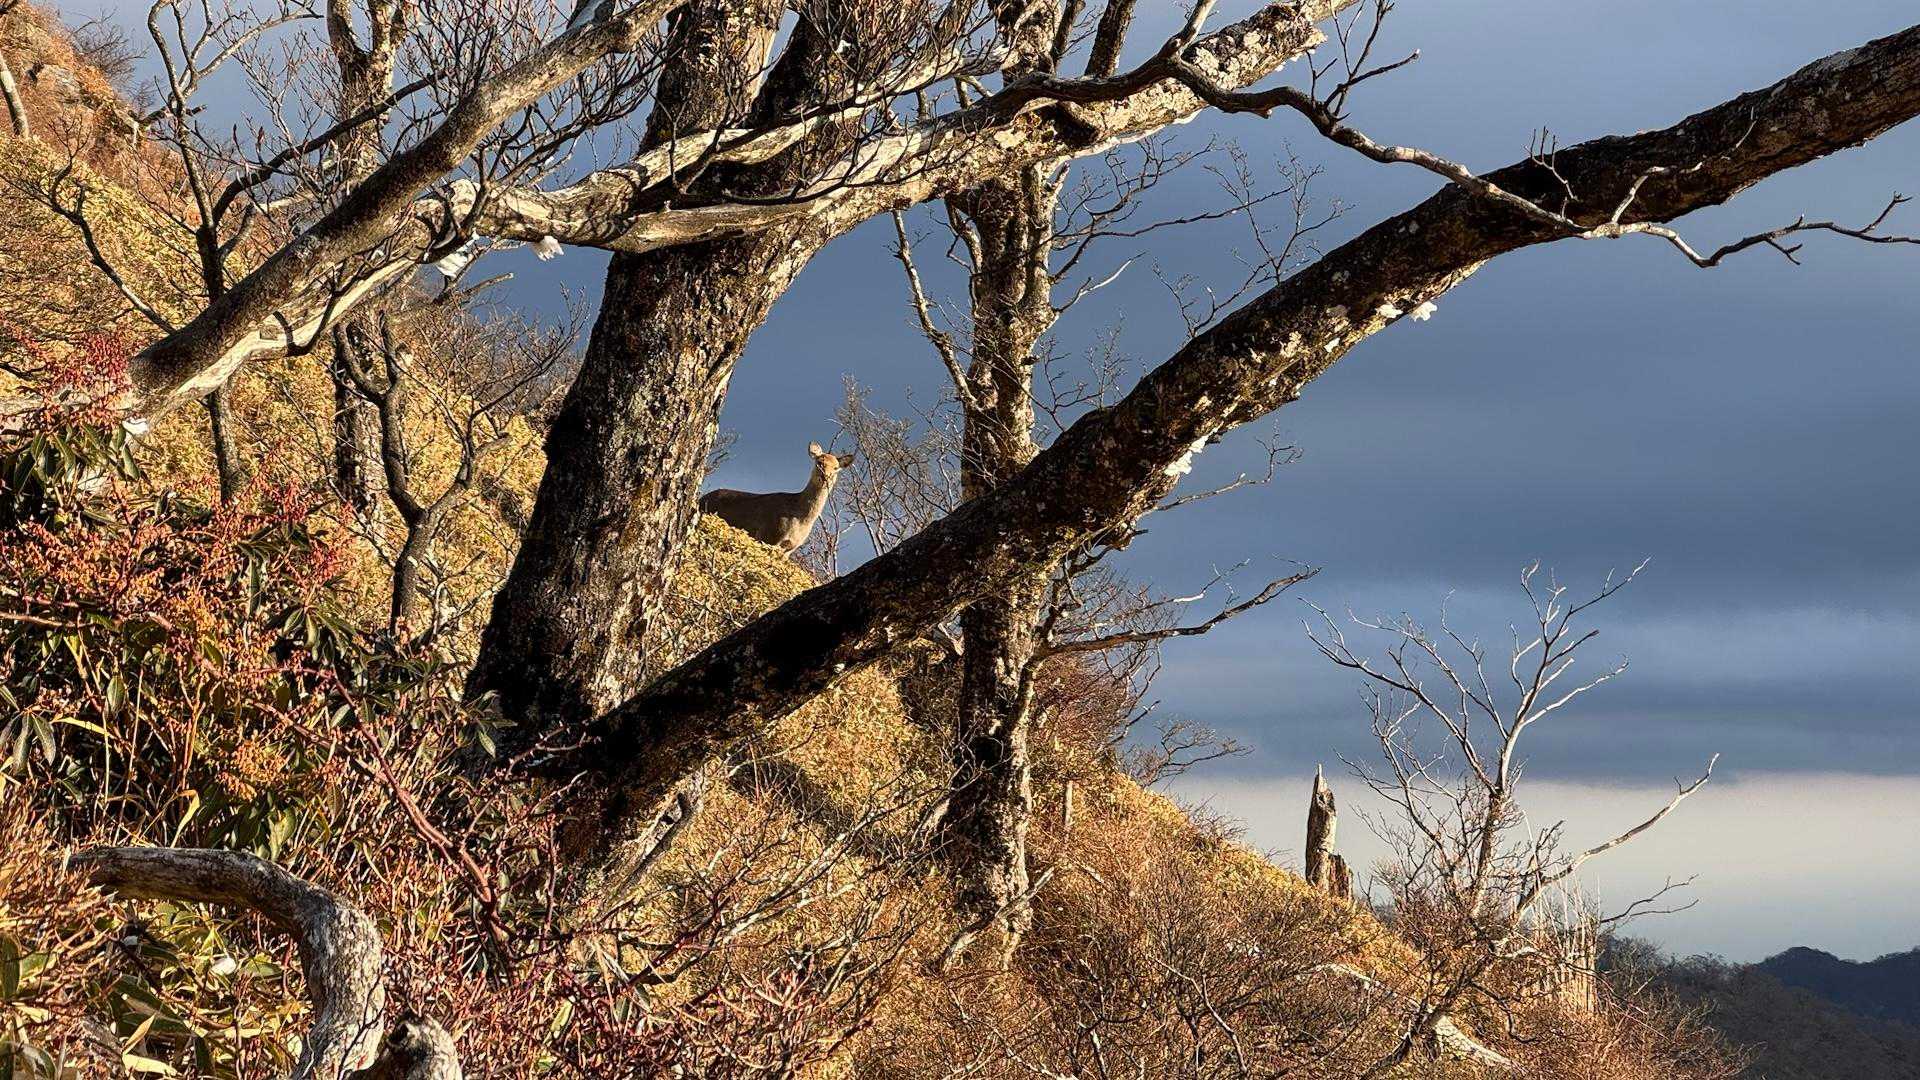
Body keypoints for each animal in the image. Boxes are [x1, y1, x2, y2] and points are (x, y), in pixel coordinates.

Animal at [698, 442, 854, 553]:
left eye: (836, 468)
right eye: (819, 462)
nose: (825, 477)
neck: (800, 518)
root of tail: (701, 499)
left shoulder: (790, 548)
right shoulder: (769, 536)